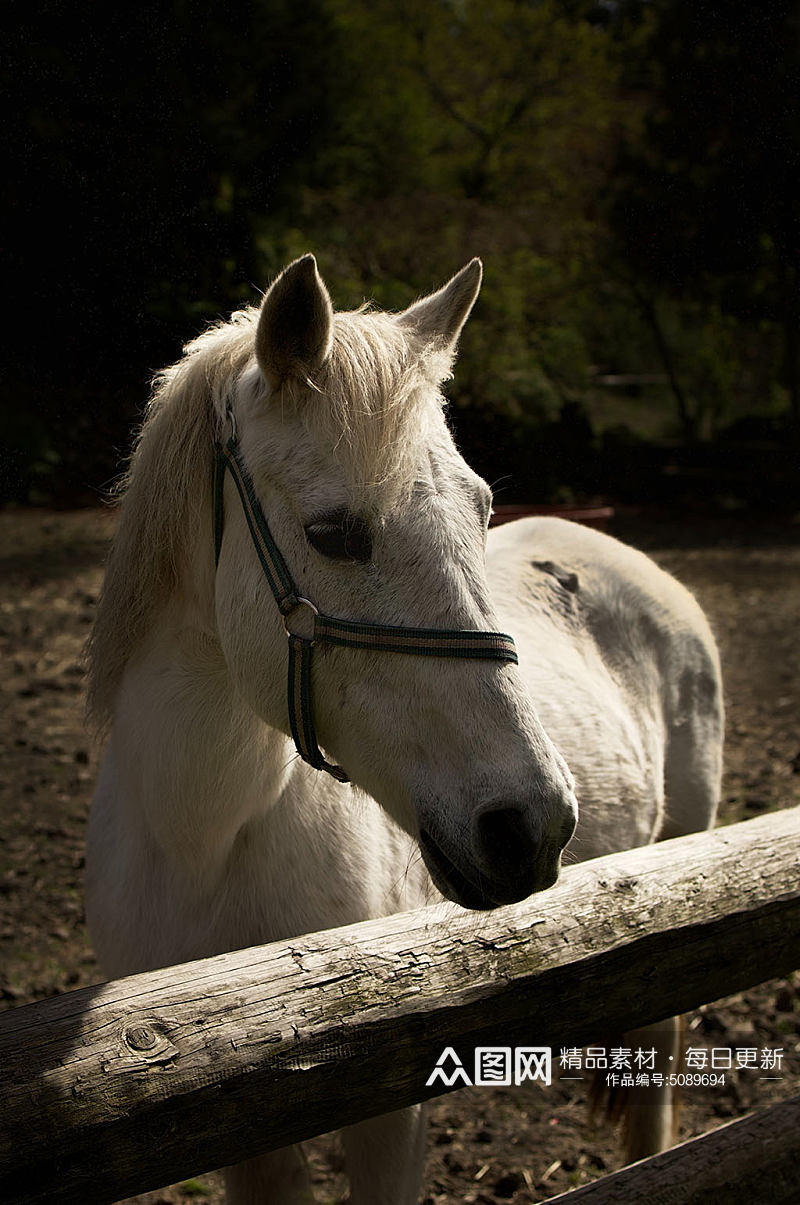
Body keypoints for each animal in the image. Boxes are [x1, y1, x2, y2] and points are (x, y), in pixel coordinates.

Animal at [87, 256, 722, 1205]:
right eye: (331, 534)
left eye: (482, 509)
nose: (531, 826)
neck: (202, 839)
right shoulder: (240, 1133)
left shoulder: (389, 1109)